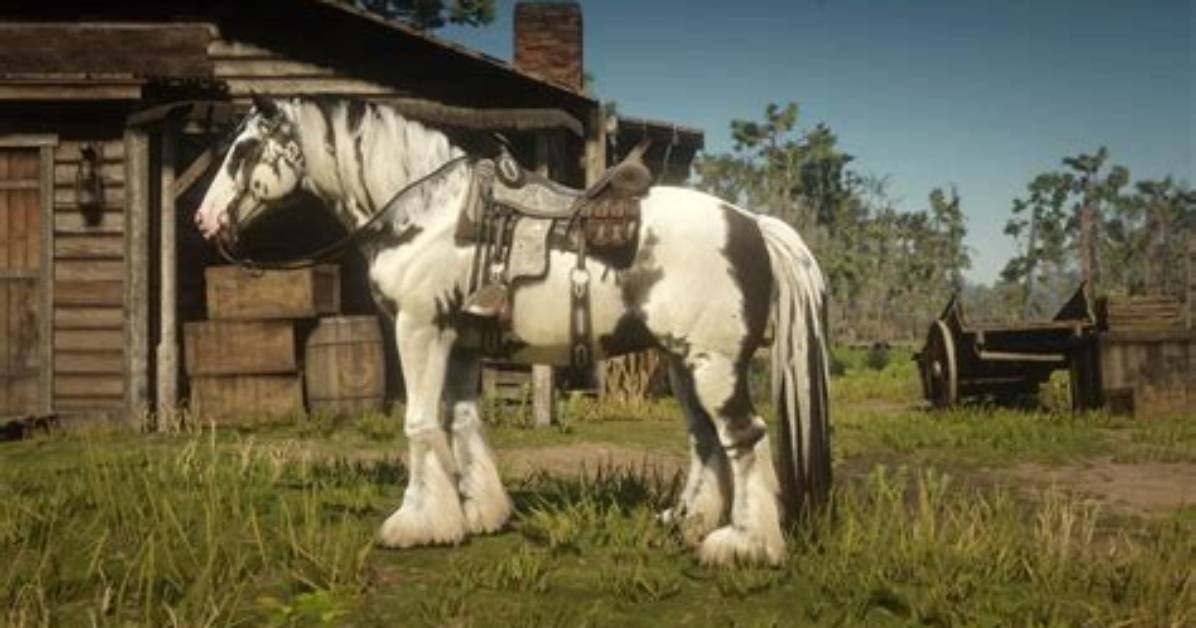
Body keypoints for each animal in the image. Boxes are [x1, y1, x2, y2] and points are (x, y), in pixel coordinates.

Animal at [195, 95, 831, 567]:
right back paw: (689, 522)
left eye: (245, 149)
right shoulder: (460, 343)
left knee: (745, 438)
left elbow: (420, 422)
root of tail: (751, 222)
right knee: (706, 440)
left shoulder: (420, 328)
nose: (204, 220)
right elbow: (461, 421)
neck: (426, 214)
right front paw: (478, 513)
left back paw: (745, 545)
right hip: (682, 362)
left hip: (714, 364)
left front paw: (415, 523)